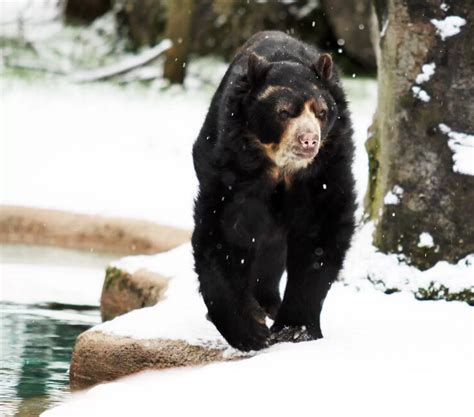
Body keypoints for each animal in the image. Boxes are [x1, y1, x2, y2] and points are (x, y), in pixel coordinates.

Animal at [191, 31, 354, 352]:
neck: (282, 169)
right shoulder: (232, 165)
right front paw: (251, 331)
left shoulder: (326, 169)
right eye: (284, 112)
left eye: (322, 112)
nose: (309, 141)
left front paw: (294, 329)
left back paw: (269, 303)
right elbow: (225, 232)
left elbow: (320, 233)